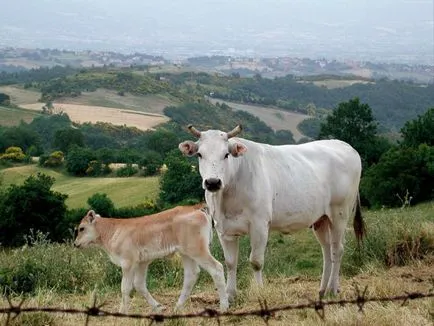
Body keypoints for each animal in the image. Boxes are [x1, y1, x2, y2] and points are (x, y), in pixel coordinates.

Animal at [178, 124, 364, 304]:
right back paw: (322, 290)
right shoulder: (223, 228)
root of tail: (344, 145)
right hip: (321, 219)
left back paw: (333, 289)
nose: (213, 182)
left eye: (226, 155)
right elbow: (230, 262)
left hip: (340, 213)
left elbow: (256, 262)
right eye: (200, 154)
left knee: (337, 250)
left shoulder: (259, 225)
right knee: (326, 251)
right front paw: (230, 296)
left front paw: (260, 292)